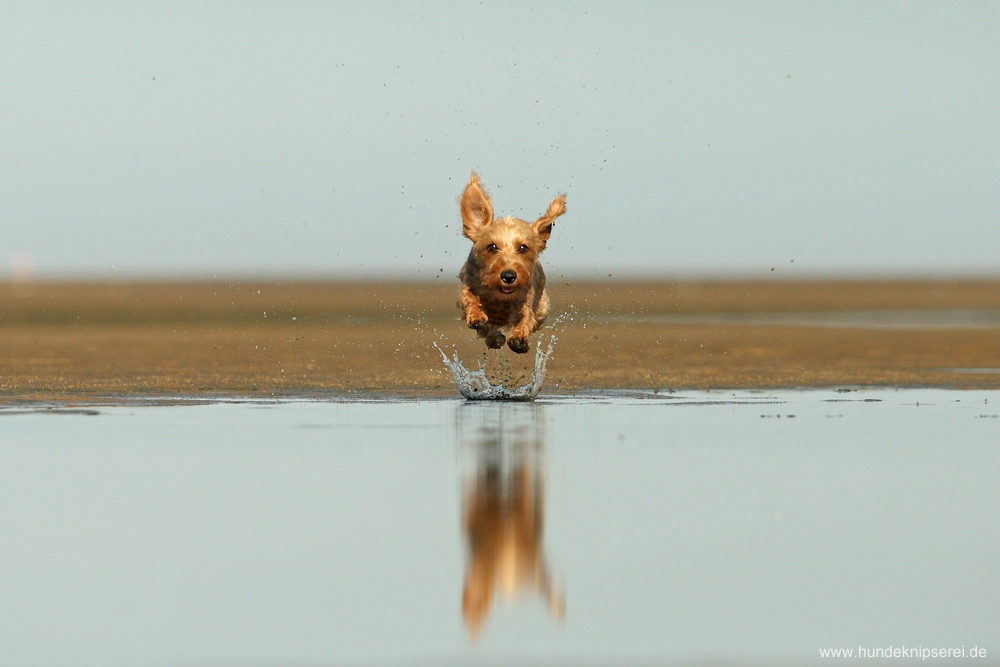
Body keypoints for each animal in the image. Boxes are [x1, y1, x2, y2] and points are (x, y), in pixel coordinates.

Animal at [458, 174, 568, 354]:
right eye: (492, 247)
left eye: (523, 248)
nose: (509, 276)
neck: (501, 299)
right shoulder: (469, 281)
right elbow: (470, 299)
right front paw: (477, 316)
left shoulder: (527, 300)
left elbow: (527, 318)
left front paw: (519, 339)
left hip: (542, 306)